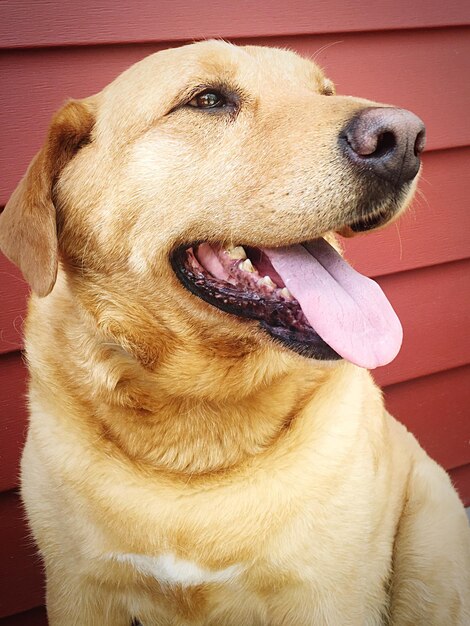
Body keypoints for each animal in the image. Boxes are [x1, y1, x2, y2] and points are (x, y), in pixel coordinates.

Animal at [0, 40, 470, 624]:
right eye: (207, 99)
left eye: (325, 92)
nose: (403, 139)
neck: (199, 421)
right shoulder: (77, 587)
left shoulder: (328, 595)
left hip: (431, 547)